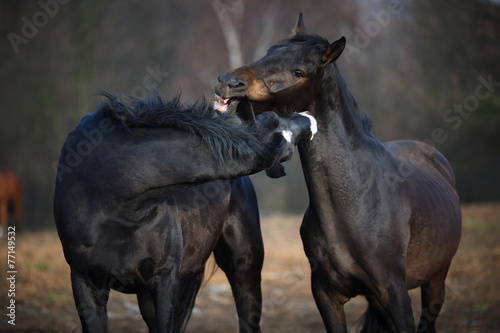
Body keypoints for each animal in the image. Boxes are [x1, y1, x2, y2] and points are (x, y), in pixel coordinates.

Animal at [213, 13, 462, 332]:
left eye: (298, 71)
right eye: (270, 51)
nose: (227, 83)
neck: (357, 202)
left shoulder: (395, 292)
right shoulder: (326, 295)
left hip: (435, 281)